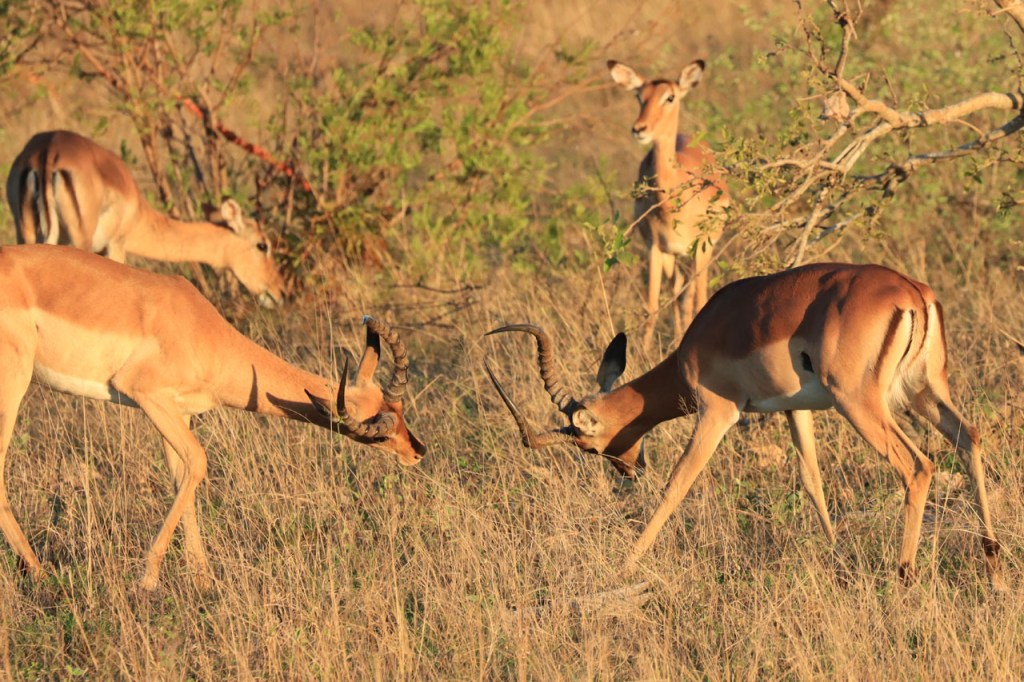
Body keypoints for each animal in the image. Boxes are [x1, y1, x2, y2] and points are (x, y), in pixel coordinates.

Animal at [0, 244, 425, 591]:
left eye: (399, 411)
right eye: (378, 432)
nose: (417, 451)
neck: (200, 329)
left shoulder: (179, 413)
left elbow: (184, 477)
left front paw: (202, 581)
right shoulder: (147, 395)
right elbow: (201, 462)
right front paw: (148, 580)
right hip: (13, 385)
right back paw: (39, 572)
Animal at [5, 130, 285, 307]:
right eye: (263, 245)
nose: (279, 293)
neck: (138, 208)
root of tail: (47, 150)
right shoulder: (116, 245)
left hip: (25, 231)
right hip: (78, 240)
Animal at [486, 263, 1006, 591]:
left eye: (589, 447)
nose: (627, 470)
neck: (700, 342)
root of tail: (913, 294)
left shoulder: (717, 411)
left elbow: (678, 483)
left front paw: (625, 565)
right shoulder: (796, 409)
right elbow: (812, 481)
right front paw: (837, 558)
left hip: (860, 403)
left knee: (918, 466)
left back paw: (904, 577)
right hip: (923, 390)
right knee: (970, 439)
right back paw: (995, 570)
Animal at [607, 59, 730, 350]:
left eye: (670, 97)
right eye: (639, 96)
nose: (639, 129)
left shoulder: (701, 248)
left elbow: (699, 301)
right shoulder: (655, 248)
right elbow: (652, 306)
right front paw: (643, 353)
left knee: (690, 295)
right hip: (672, 257)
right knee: (678, 294)